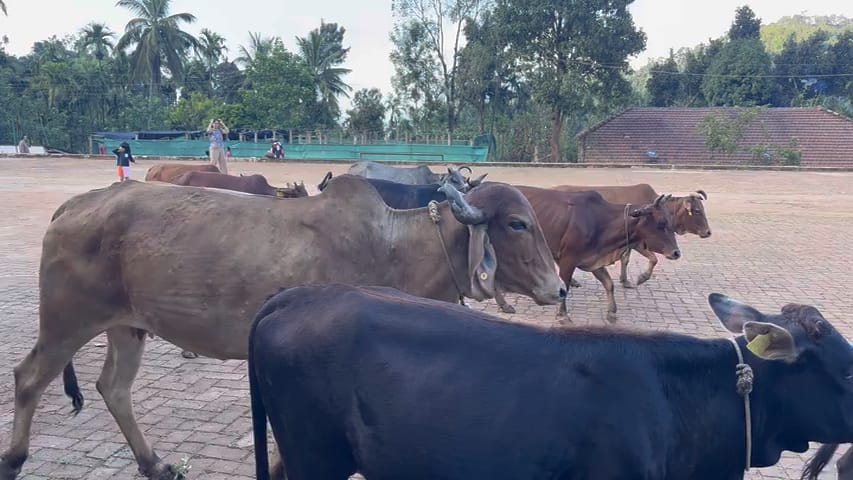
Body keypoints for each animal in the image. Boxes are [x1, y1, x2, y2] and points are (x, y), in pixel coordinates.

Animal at [0, 175, 565, 480]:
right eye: (517, 224)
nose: (559, 288)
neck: (397, 247)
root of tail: (75, 203)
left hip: (127, 326)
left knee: (112, 387)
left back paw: (155, 462)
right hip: (67, 320)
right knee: (27, 378)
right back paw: (14, 458)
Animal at [514, 185, 681, 322]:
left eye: (671, 220)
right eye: (661, 223)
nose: (676, 253)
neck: (599, 221)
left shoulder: (593, 259)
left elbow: (609, 283)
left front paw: (612, 312)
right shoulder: (569, 258)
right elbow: (565, 286)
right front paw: (562, 315)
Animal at [553, 183, 711, 288]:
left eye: (703, 209)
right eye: (697, 211)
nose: (708, 232)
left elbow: (626, 260)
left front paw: (625, 280)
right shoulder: (637, 243)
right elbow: (653, 259)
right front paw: (642, 278)